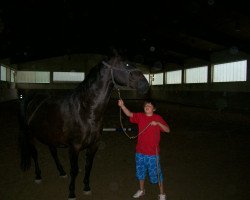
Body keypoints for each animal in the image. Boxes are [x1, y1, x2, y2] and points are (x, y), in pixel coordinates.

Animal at [19, 54, 149, 198]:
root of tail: (33, 97)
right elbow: (74, 170)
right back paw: (38, 176)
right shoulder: (74, 147)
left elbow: (88, 166)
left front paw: (86, 187)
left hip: (50, 135)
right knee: (34, 154)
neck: (85, 110)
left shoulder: (94, 145)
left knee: (53, 152)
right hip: (31, 135)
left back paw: (61, 172)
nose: (145, 85)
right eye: (126, 65)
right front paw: (71, 193)